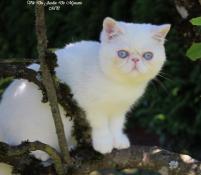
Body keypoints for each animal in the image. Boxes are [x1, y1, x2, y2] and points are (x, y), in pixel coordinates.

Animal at [0, 17, 170, 173]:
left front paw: (118, 139)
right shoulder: (90, 103)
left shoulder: (120, 108)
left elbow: (116, 123)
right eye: (122, 54)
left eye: (148, 56)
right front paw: (104, 142)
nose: (135, 60)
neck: (120, 85)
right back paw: (39, 153)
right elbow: (100, 123)